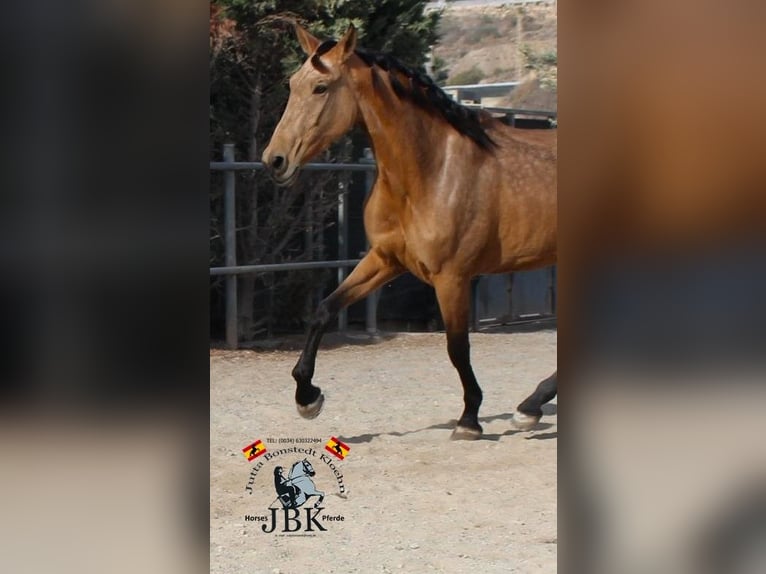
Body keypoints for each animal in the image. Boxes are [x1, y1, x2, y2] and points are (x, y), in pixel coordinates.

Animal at [264, 23, 560, 440]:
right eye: (292, 84)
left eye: (321, 88)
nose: (274, 160)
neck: (432, 169)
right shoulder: (385, 260)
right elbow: (324, 309)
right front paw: (308, 398)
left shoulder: (452, 277)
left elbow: (457, 348)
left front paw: (469, 419)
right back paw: (530, 407)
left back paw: (529, 407)